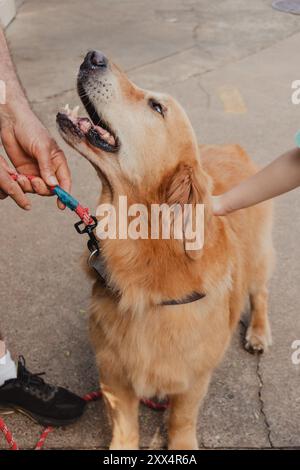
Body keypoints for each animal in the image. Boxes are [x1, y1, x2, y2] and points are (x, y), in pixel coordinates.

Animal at [56, 49, 274, 450]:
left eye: (156, 107)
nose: (93, 56)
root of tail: (233, 147)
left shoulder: (193, 378)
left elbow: (181, 419)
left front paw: (182, 443)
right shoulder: (113, 373)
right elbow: (125, 426)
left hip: (257, 258)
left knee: (261, 292)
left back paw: (258, 333)